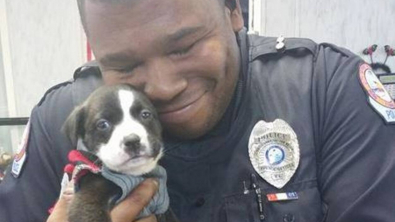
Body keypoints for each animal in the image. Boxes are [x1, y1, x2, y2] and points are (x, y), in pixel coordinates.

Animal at [62, 83, 176, 222]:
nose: (132, 141)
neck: (133, 174)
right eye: (102, 124)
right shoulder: (87, 199)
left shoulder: (162, 205)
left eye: (145, 114)